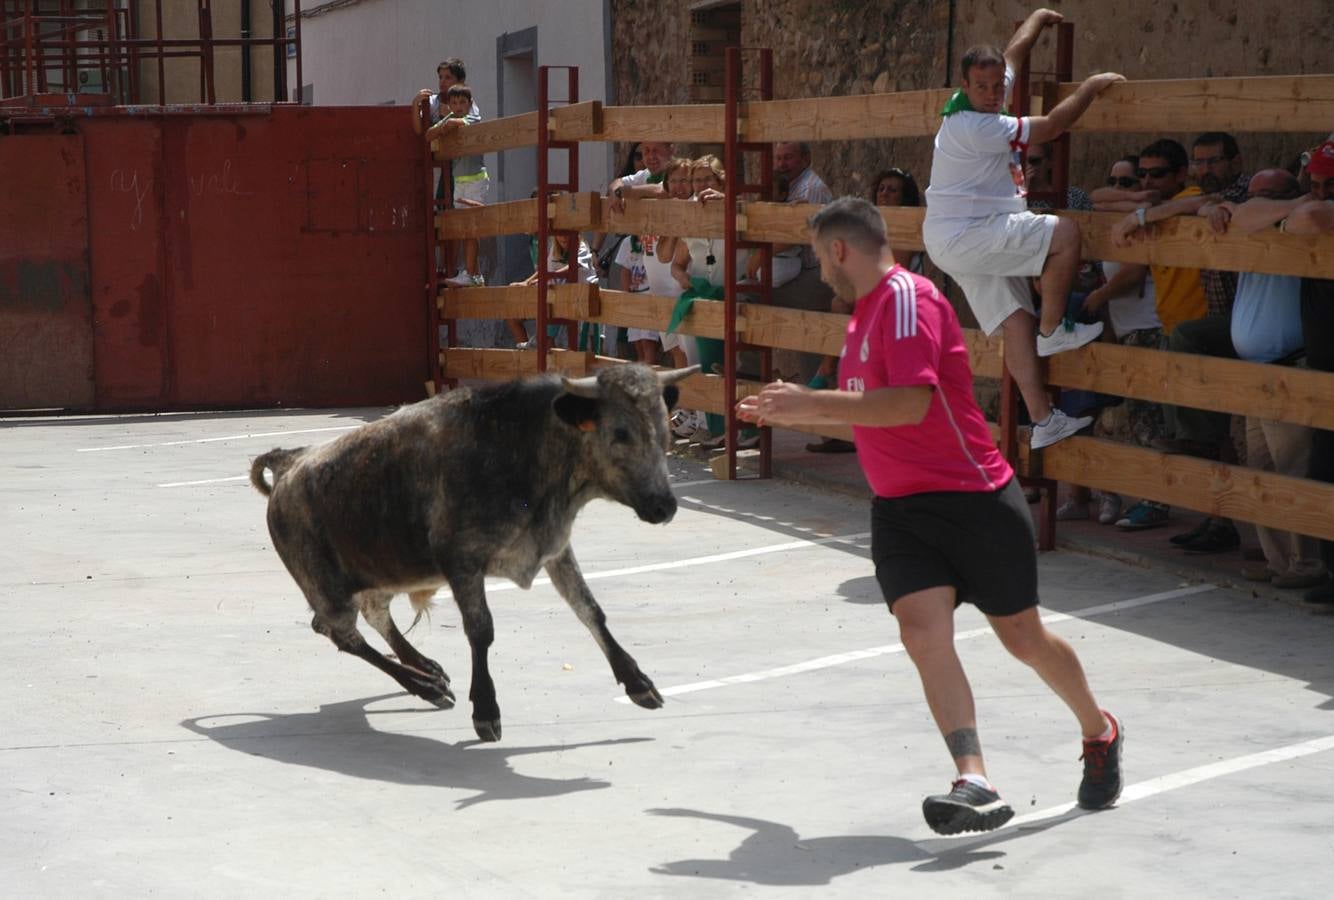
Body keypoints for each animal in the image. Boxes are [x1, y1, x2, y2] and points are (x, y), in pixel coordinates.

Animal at [249, 362, 699, 741]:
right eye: (620, 433)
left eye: (664, 429)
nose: (664, 506)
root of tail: (289, 462)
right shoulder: (462, 562)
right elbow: (481, 629)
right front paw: (485, 709)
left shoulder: (554, 548)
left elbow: (590, 610)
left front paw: (638, 682)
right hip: (325, 587)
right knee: (340, 633)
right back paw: (425, 685)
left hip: (381, 574)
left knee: (374, 615)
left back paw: (426, 669)